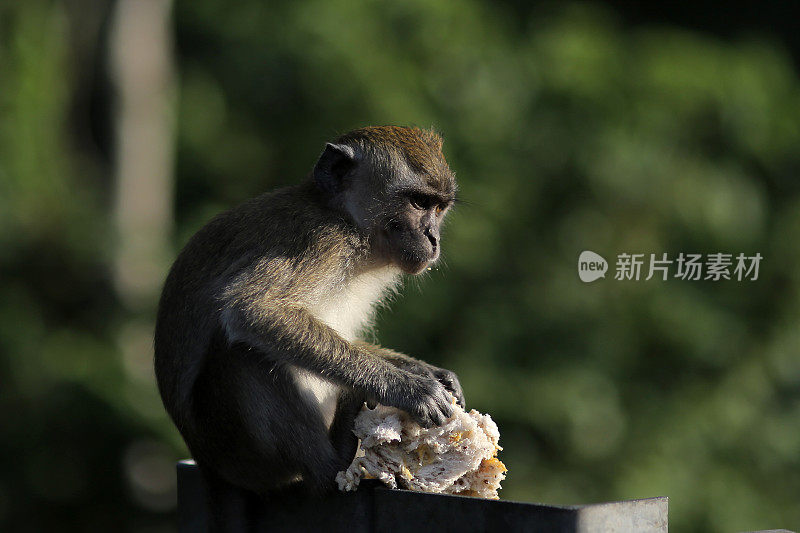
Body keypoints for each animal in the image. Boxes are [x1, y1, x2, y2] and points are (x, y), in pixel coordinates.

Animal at [154, 124, 466, 528]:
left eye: (438, 208)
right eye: (417, 203)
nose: (433, 238)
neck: (349, 222)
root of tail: (210, 467)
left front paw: (422, 370)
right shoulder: (321, 242)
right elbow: (255, 311)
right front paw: (408, 388)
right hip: (238, 451)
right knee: (240, 355)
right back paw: (332, 464)